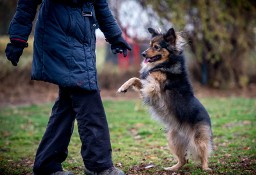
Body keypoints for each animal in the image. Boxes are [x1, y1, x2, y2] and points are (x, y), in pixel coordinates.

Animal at [117, 27, 212, 171]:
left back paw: (205, 168)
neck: (166, 63)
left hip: (198, 139)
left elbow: (149, 83)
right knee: (183, 160)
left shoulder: (155, 88)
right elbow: (135, 79)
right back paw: (172, 168)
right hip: (173, 140)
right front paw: (123, 87)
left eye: (156, 47)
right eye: (150, 45)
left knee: (204, 154)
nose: (143, 54)